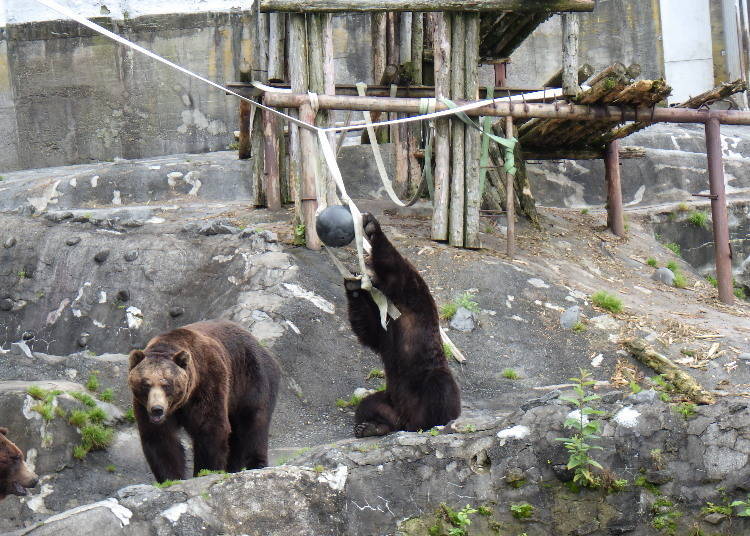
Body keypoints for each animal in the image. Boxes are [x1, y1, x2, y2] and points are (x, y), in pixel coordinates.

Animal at [129, 320, 282, 484]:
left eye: (166, 384)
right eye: (146, 384)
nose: (157, 409)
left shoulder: (207, 382)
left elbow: (209, 426)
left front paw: (205, 471)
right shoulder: (144, 406)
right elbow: (160, 438)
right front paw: (172, 477)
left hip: (251, 379)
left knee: (254, 422)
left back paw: (256, 464)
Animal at [346, 211, 462, 438]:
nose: (363, 269)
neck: (393, 302)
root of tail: (408, 419)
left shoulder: (412, 300)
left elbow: (397, 267)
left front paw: (371, 226)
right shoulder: (385, 332)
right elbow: (368, 329)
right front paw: (352, 284)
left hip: (423, 386)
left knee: (440, 385)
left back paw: (434, 423)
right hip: (391, 399)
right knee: (369, 403)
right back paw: (371, 426)